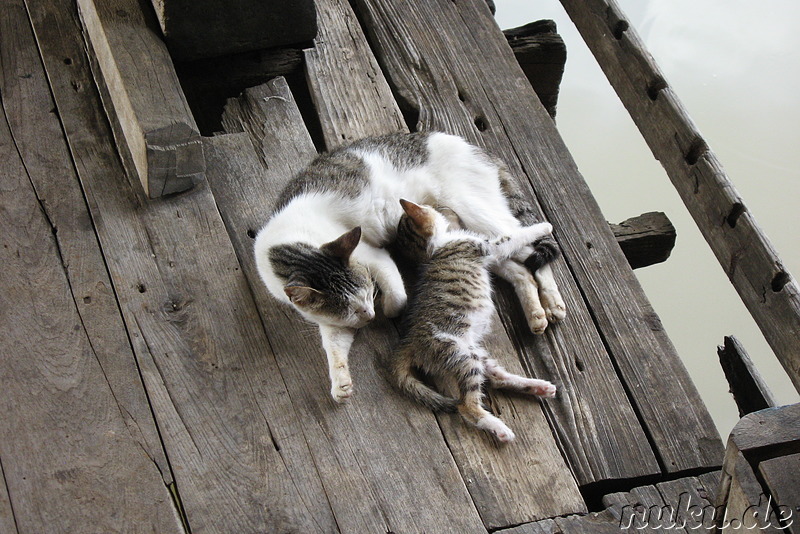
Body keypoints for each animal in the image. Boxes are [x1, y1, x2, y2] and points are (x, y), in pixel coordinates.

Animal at [255, 132, 564, 404]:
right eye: (348, 309)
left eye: (366, 293)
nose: (368, 315)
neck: (290, 242)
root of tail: (473, 147)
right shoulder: (332, 321)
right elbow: (334, 346)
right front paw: (340, 383)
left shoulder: (372, 254)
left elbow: (397, 295)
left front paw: (390, 310)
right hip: (472, 237)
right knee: (520, 270)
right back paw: (536, 315)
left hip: (480, 216)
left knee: (535, 246)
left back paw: (553, 302)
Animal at [392, 201, 556, 444]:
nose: (439, 205)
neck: (435, 246)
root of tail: (410, 342)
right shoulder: (487, 247)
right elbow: (513, 237)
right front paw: (543, 227)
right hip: (460, 355)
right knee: (467, 405)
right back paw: (500, 429)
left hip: (475, 353)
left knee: (497, 379)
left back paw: (540, 387)